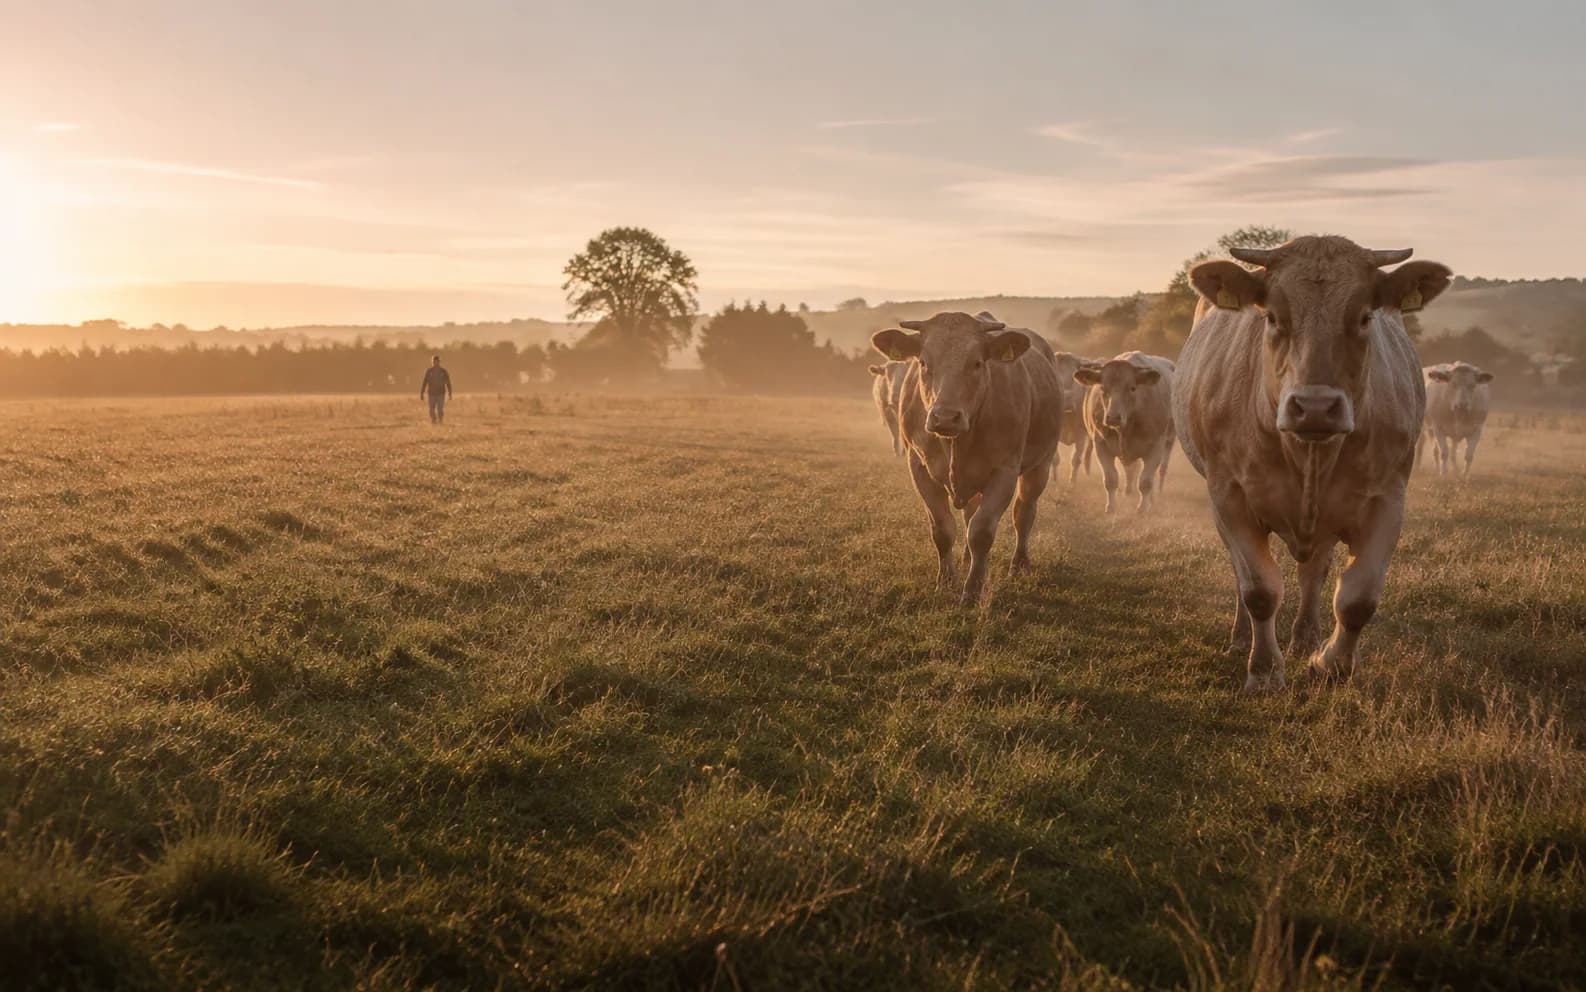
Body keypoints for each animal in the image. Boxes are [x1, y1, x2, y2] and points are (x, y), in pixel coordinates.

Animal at [871, 311, 1063, 604]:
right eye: (923, 362)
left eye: (977, 363)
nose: (945, 417)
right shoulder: (919, 467)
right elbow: (942, 529)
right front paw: (946, 580)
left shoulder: (1005, 471)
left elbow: (981, 531)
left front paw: (973, 589)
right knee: (970, 513)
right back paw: (965, 558)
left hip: (1040, 465)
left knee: (1023, 513)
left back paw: (1019, 563)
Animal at [1052, 352, 1098, 482]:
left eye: (1073, 377)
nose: (1066, 399)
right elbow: (1055, 459)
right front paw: (1054, 479)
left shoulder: (1081, 434)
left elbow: (1076, 459)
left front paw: (1072, 482)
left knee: (1088, 453)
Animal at [1074, 351, 1176, 513]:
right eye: (1102, 387)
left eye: (1132, 388)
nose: (1113, 417)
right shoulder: (1101, 444)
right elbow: (1111, 479)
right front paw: (1111, 507)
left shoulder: (1156, 446)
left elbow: (1146, 481)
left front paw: (1142, 509)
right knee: (1130, 470)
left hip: (1170, 441)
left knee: (1160, 470)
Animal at [1177, 235, 1450, 692]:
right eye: (1271, 316)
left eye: (1364, 316)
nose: (1316, 408)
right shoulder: (1229, 496)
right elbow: (1258, 589)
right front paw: (1264, 671)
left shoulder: (1388, 499)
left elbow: (1358, 598)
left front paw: (1330, 664)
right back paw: (1241, 638)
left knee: (1313, 572)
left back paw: (1306, 637)